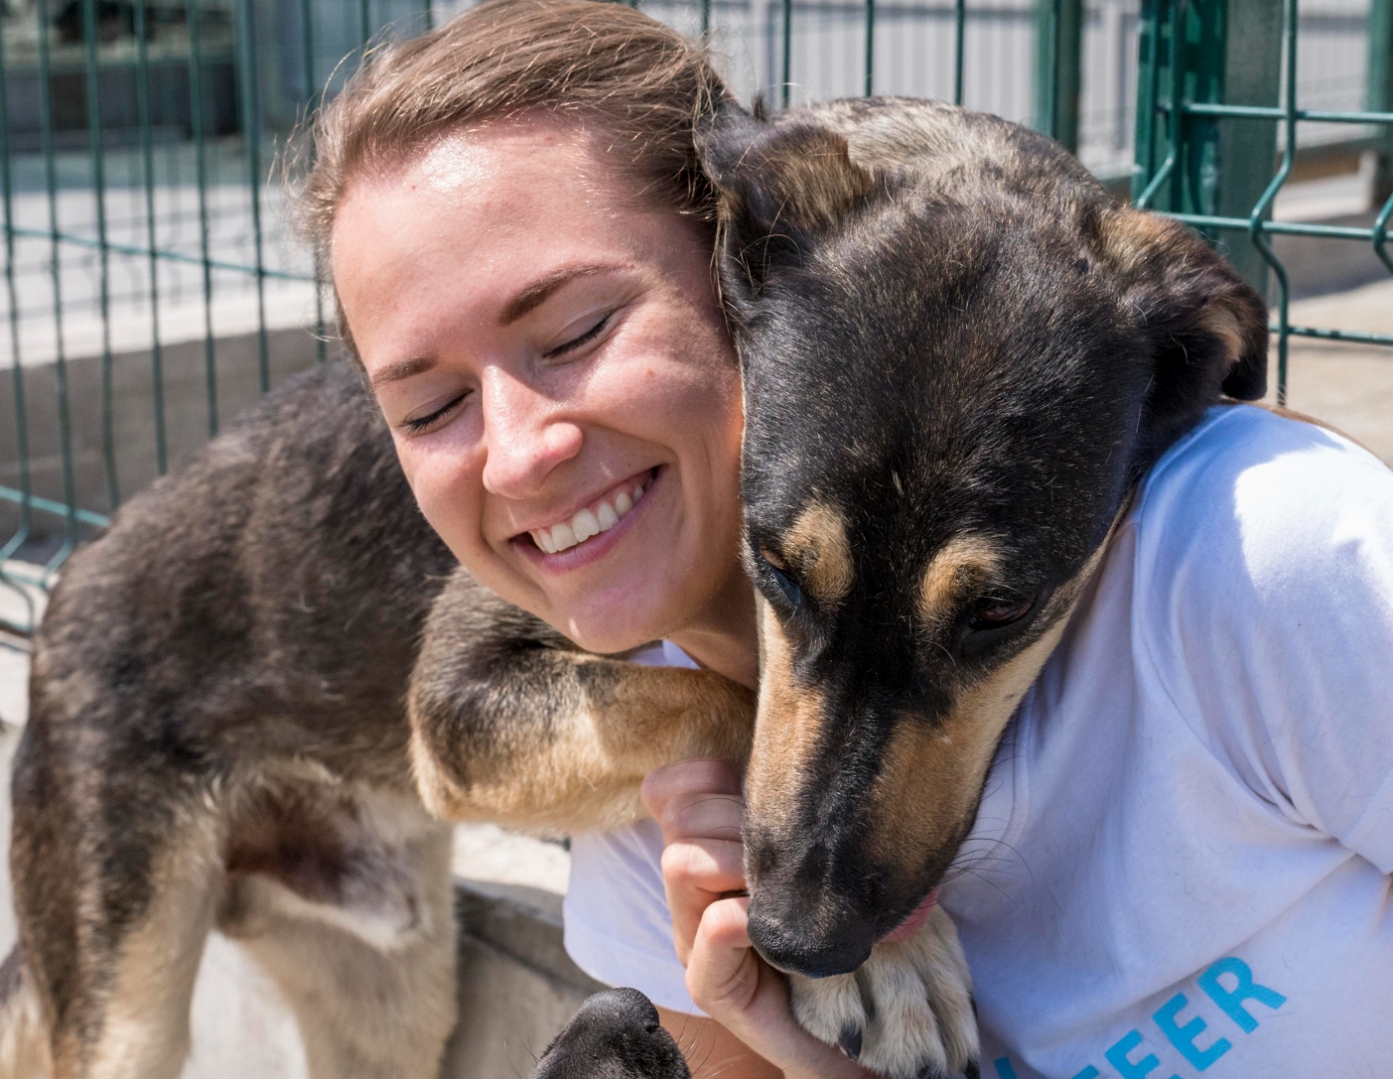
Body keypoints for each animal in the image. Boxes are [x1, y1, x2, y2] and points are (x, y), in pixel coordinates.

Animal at [0, 101, 1264, 1079]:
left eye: (999, 612)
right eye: (776, 566)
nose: (804, 933)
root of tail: (64, 594)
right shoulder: (455, 696)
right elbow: (719, 701)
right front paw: (896, 957)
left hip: (393, 986)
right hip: (126, 987)